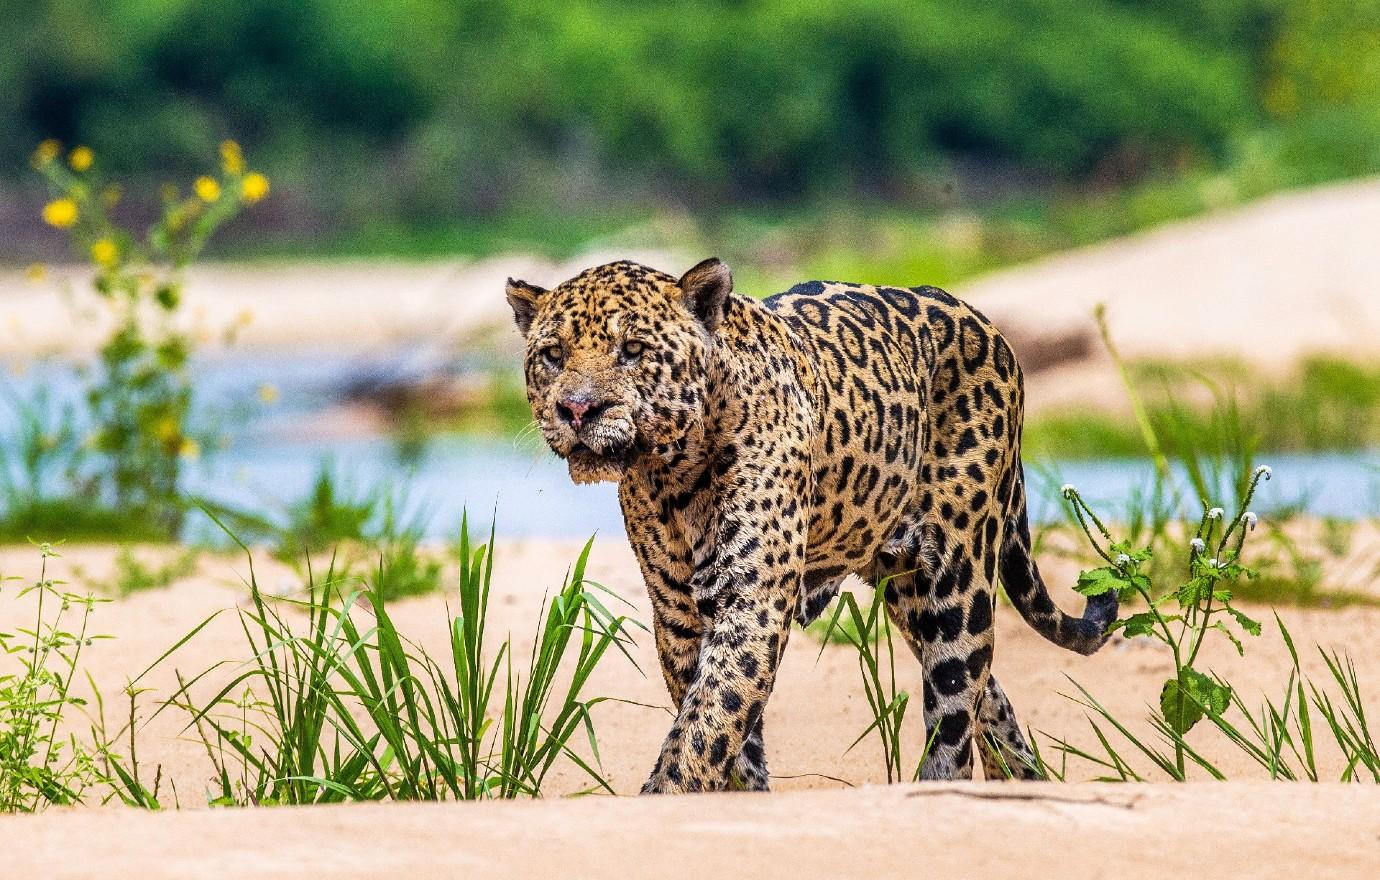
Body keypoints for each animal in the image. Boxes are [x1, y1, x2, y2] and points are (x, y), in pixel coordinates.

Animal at [504, 257, 1117, 793]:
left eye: (632, 350)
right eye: (553, 355)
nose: (576, 410)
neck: (671, 476)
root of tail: (988, 325)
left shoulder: (751, 602)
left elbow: (704, 724)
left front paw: (667, 795)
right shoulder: (677, 616)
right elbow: (723, 727)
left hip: (957, 580)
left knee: (955, 711)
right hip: (906, 592)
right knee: (988, 699)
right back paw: (1025, 785)